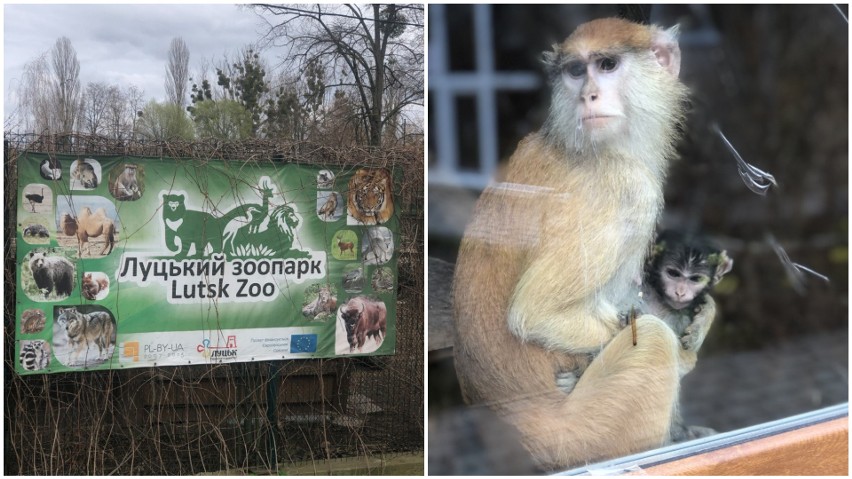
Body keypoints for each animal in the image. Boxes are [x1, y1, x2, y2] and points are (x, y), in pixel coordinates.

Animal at [450, 17, 704, 468]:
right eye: (574, 71)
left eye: (606, 65)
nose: (588, 95)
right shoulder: (625, 186)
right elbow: (535, 314)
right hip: (587, 436)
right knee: (652, 340)